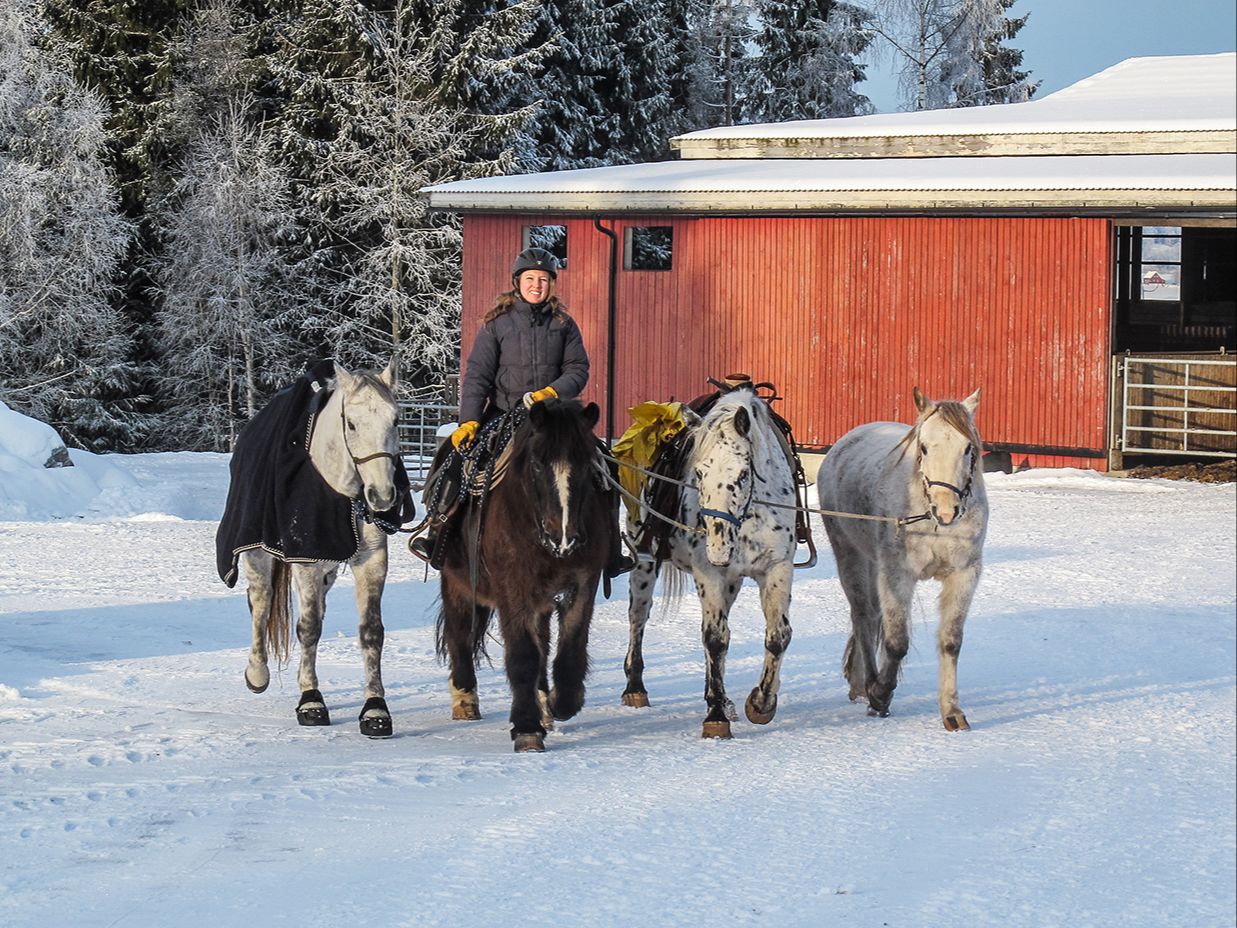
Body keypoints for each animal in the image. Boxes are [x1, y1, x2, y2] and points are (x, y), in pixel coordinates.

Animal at [220, 359, 408, 738]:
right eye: (352, 424)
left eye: (395, 420)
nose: (382, 497)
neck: (342, 492)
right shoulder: (306, 559)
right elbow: (307, 629)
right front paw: (311, 701)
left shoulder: (371, 560)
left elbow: (371, 632)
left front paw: (375, 709)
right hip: (259, 555)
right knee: (260, 602)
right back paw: (257, 672)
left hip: (328, 567)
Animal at [435, 398, 612, 753]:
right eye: (537, 464)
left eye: (586, 464)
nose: (564, 538)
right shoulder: (512, 589)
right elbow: (523, 654)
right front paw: (527, 727)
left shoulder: (582, 584)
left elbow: (569, 648)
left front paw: (562, 702)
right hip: (457, 583)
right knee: (459, 634)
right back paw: (464, 698)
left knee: (542, 641)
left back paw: (544, 703)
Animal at [622, 386, 799, 739]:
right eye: (700, 472)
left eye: (743, 474)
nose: (717, 549)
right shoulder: (709, 574)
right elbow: (715, 640)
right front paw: (715, 716)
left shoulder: (777, 568)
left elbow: (777, 636)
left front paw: (761, 703)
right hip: (643, 563)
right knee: (638, 619)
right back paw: (635, 687)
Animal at [816, 387, 988, 731]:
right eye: (924, 447)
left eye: (968, 449)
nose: (946, 511)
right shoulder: (897, 574)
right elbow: (896, 642)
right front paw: (881, 694)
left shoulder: (964, 574)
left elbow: (950, 641)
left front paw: (951, 710)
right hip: (850, 555)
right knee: (864, 616)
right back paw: (868, 684)